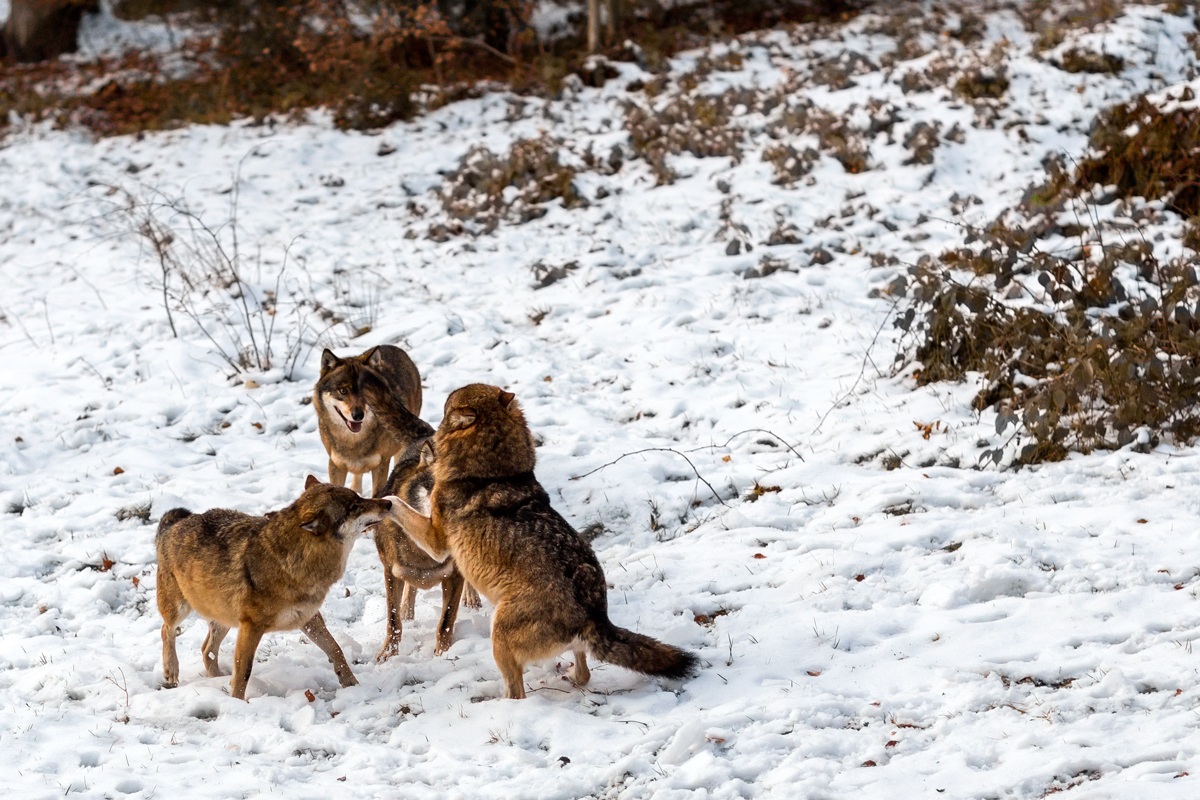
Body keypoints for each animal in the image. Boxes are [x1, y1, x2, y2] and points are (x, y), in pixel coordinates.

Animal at [155, 476, 392, 700]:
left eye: (359, 497)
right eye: (354, 507)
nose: (388, 502)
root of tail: (171, 527)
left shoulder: (309, 618)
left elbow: (336, 649)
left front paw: (353, 685)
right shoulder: (251, 627)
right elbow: (243, 672)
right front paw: (237, 703)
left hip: (224, 618)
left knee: (206, 650)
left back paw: (217, 680)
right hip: (180, 609)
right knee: (167, 629)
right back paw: (171, 670)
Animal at [314, 345, 422, 496]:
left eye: (367, 392)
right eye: (343, 391)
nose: (358, 415)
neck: (354, 441)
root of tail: (392, 346)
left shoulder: (382, 464)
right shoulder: (336, 464)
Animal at [386, 383, 698, 699]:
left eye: (448, 403)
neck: (494, 472)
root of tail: (594, 617)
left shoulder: (436, 540)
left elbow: (398, 504)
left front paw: (382, 501)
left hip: (499, 634)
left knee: (517, 692)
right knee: (584, 673)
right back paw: (569, 678)